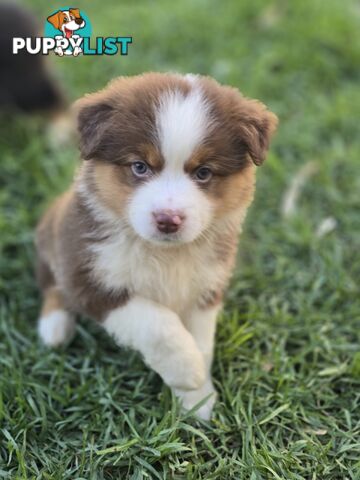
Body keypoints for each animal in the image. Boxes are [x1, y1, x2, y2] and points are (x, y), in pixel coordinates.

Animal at [35, 72, 278, 420]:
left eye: (203, 172)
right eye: (140, 166)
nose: (168, 220)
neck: (165, 253)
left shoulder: (206, 285)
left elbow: (201, 340)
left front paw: (198, 399)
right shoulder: (86, 274)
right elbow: (156, 322)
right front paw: (187, 371)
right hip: (51, 239)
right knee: (49, 284)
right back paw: (54, 329)